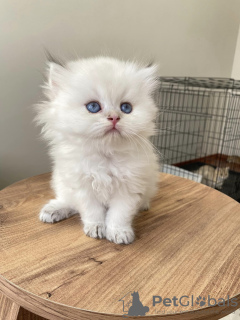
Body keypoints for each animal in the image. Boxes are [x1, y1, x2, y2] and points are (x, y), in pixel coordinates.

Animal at [35, 55, 159, 245]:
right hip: (62, 182)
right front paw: (95, 228)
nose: (114, 117)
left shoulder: (129, 187)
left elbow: (119, 215)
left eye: (126, 108)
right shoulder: (82, 187)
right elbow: (92, 212)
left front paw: (119, 232)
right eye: (93, 107)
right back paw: (54, 210)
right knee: (68, 201)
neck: (105, 155)